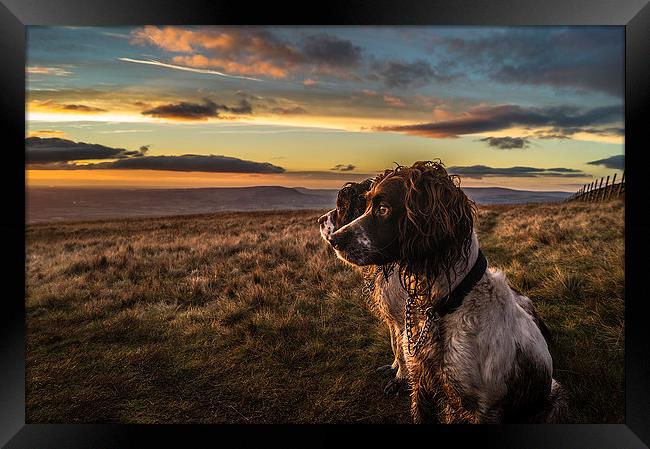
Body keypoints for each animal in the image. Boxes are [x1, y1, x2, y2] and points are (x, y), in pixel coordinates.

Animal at [318, 162, 560, 424]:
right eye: (366, 205)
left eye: (382, 209)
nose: (334, 239)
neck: (443, 306)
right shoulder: (419, 373)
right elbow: (398, 348)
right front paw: (393, 369)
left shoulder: (482, 409)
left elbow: (399, 351)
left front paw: (397, 379)